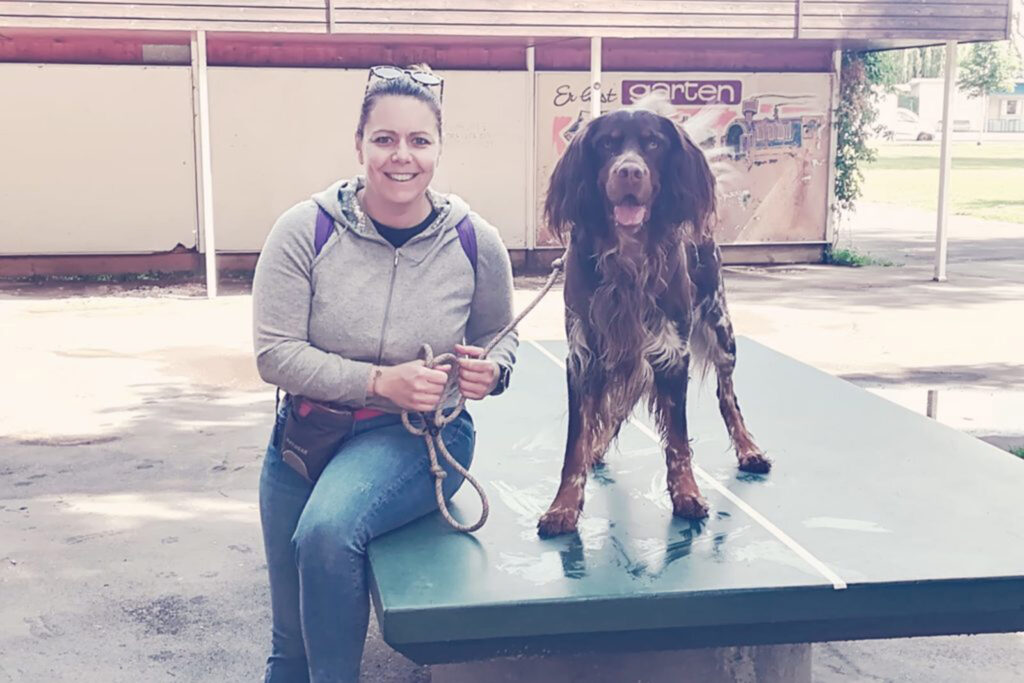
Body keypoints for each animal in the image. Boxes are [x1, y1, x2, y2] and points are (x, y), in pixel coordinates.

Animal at [536, 104, 770, 540]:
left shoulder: (671, 352)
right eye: (607, 143)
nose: (630, 172)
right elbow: (576, 441)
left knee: (727, 396)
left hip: (721, 330)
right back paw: (598, 448)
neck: (627, 260)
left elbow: (677, 437)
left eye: (653, 144)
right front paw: (563, 506)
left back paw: (749, 449)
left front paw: (687, 494)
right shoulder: (585, 355)